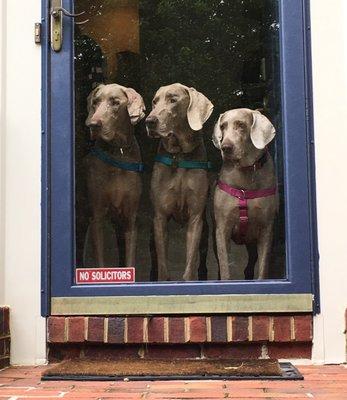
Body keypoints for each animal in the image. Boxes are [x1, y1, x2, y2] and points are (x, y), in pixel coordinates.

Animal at [87, 82, 147, 268]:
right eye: (95, 102)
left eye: (115, 102)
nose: (93, 124)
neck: (117, 151)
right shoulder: (97, 218)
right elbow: (100, 261)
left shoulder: (130, 219)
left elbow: (129, 260)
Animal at [145, 83, 213, 280]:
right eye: (154, 101)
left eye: (173, 100)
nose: (149, 121)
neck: (179, 155)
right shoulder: (160, 218)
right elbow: (162, 264)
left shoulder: (196, 219)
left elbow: (190, 264)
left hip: (206, 232)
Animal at [212, 108, 280, 280]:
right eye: (222, 126)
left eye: (241, 125)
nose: (225, 147)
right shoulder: (222, 229)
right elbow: (225, 268)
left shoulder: (266, 229)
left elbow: (263, 269)